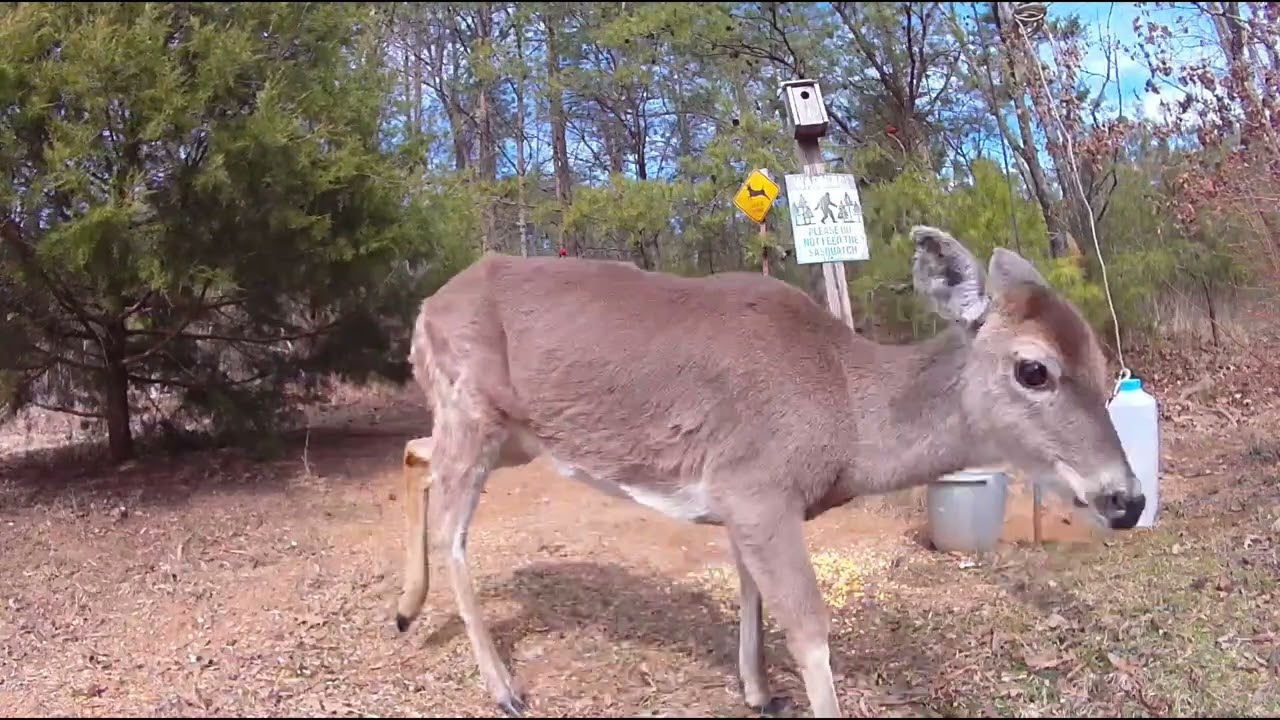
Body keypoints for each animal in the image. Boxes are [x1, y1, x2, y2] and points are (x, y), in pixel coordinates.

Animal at [393, 225, 1147, 718]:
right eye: (1033, 369)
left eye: (1104, 363)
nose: (1127, 499)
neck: (844, 413)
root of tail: (424, 308)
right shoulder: (757, 485)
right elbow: (810, 629)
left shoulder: (738, 496)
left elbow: (750, 589)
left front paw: (758, 692)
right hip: (473, 405)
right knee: (454, 529)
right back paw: (504, 689)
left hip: (511, 433)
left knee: (419, 464)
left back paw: (405, 611)